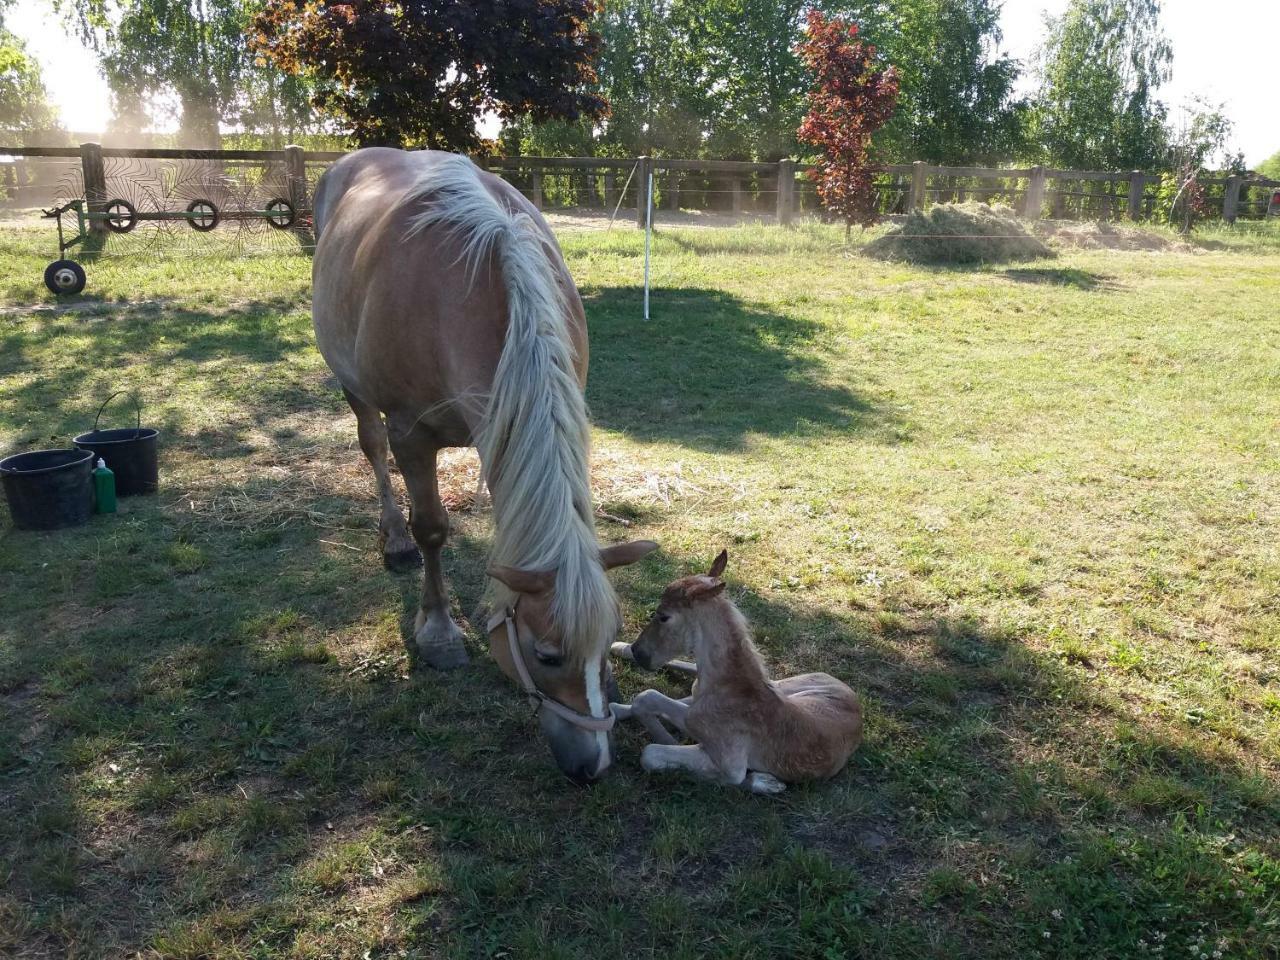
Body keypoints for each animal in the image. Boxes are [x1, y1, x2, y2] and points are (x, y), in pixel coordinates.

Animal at [307, 150, 650, 783]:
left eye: (611, 638)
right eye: (546, 655)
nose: (592, 766)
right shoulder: (411, 436)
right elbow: (432, 528)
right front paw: (439, 630)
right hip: (356, 391)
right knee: (373, 452)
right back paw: (394, 540)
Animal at [614, 552, 865, 793]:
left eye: (664, 616)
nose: (638, 652)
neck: (729, 685)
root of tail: (853, 698)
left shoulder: (730, 765)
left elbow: (651, 751)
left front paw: (764, 782)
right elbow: (647, 699)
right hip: (784, 685)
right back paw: (618, 659)